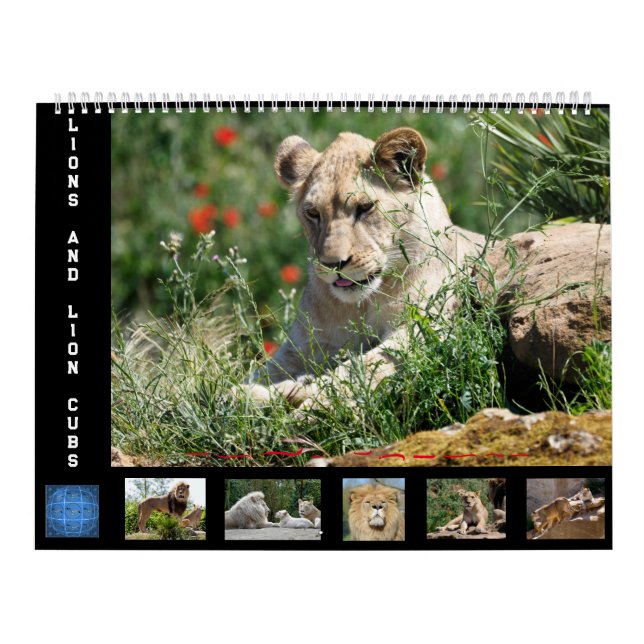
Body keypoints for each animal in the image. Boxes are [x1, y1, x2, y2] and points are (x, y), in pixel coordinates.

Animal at [247, 127, 483, 408]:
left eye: (365, 207)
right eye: (313, 213)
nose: (333, 263)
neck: (362, 305)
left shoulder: (423, 328)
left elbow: (357, 370)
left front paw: (308, 400)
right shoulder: (303, 345)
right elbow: (261, 374)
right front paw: (247, 394)